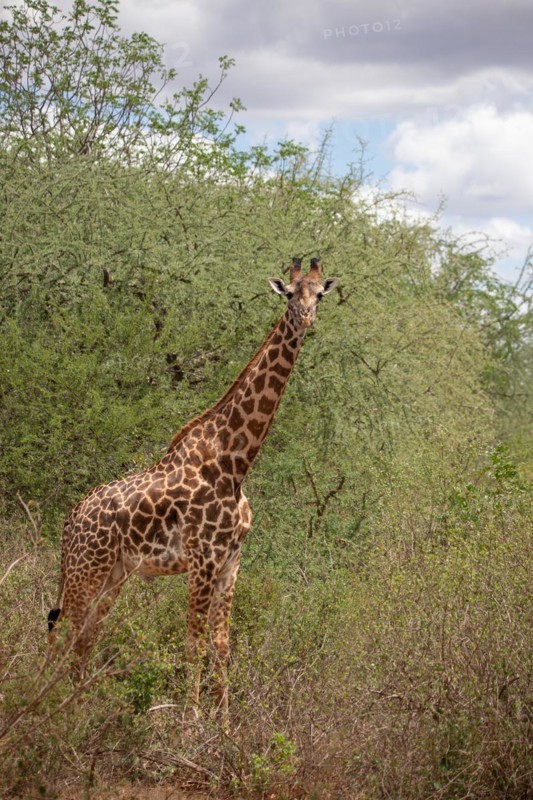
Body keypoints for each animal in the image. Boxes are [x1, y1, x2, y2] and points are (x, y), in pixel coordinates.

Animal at [48, 257, 338, 717]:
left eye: (320, 294)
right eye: (290, 294)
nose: (306, 317)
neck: (235, 463)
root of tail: (69, 522)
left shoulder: (231, 562)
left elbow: (222, 649)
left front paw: (224, 727)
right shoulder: (203, 559)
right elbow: (194, 647)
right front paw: (191, 725)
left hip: (113, 573)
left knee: (84, 636)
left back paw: (78, 709)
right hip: (85, 569)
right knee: (61, 633)